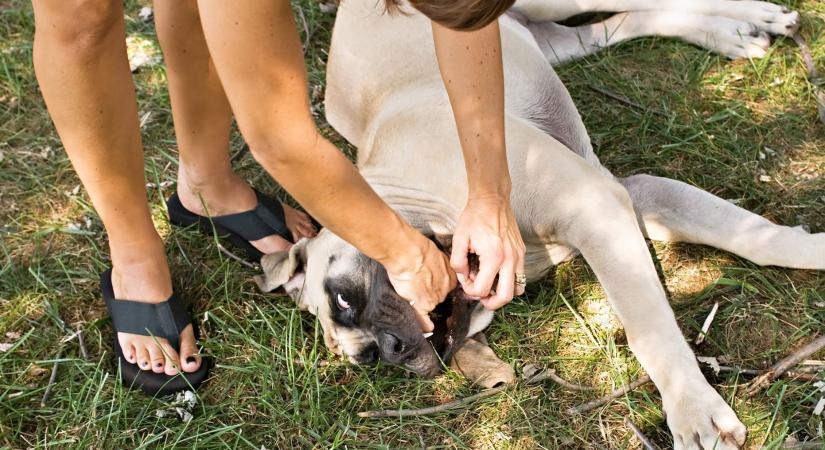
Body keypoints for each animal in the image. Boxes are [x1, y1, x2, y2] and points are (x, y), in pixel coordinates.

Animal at [256, 1, 816, 448]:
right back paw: (734, 31)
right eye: (369, 360)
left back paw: (752, 17)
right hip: (549, 40)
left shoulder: (597, 207)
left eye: (343, 296)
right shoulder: (633, 197)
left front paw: (692, 410)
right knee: (623, 22)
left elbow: (648, 328)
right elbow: (757, 237)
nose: (393, 351)